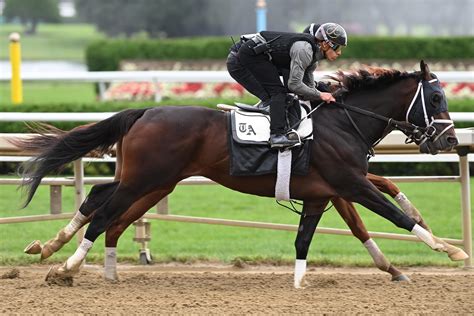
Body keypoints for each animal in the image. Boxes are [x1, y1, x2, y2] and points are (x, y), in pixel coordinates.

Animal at [14, 60, 466, 286]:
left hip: (150, 179)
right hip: (146, 179)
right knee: (105, 214)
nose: (448, 140)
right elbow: (395, 217)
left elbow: (325, 229)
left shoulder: (329, 188)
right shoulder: (348, 182)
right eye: (436, 98)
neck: (343, 121)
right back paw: (66, 268)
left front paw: (302, 283)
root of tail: (144, 110)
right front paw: (450, 249)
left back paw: (51, 248)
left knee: (97, 198)